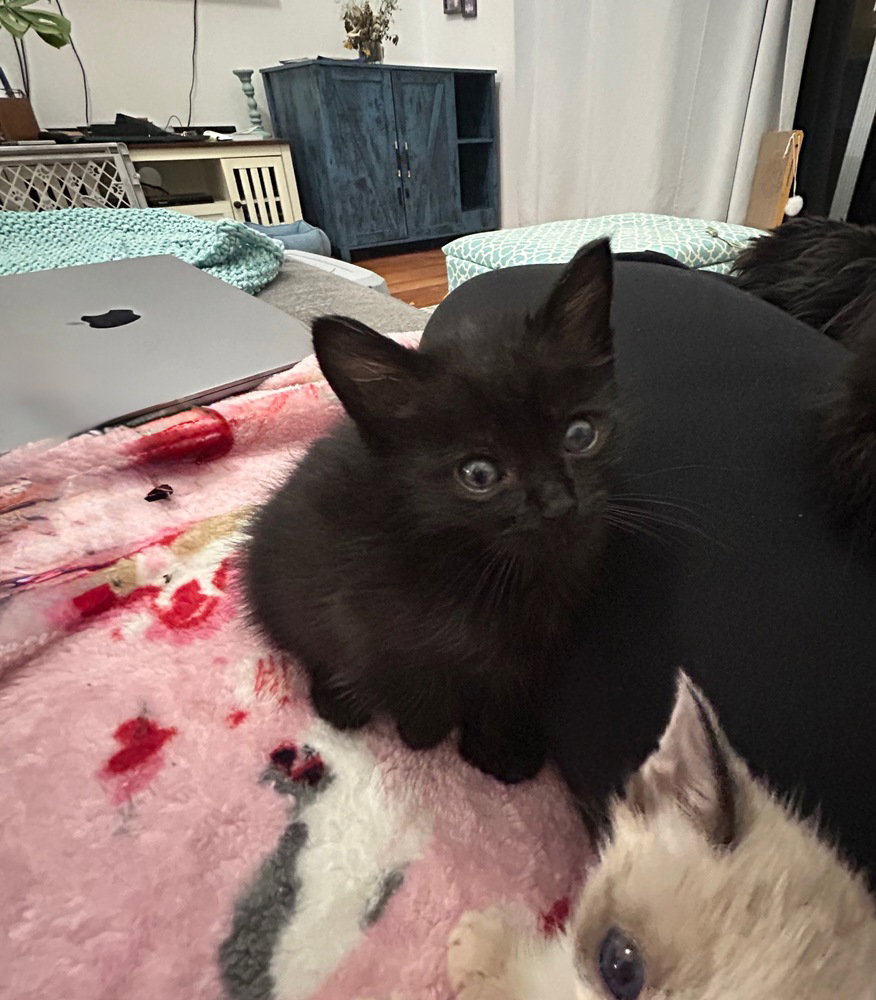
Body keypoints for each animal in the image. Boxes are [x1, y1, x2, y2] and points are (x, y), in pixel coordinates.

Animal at [243, 239, 617, 783]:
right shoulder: (357, 611)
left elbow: (505, 683)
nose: (559, 503)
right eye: (479, 474)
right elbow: (410, 679)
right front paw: (426, 731)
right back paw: (339, 701)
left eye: (580, 435)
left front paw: (502, 743)